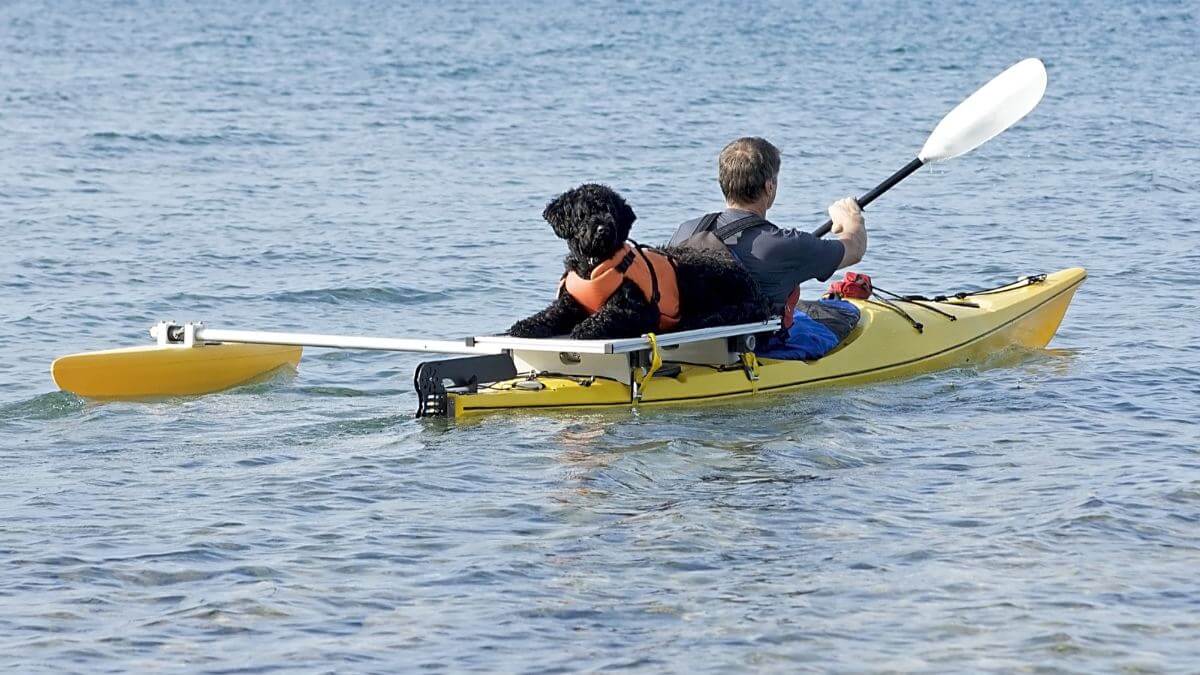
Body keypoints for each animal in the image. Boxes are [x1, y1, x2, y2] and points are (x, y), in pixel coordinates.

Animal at [506, 182, 768, 336]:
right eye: (584, 213)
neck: (593, 266)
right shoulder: (569, 302)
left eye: (610, 211)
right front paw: (527, 324)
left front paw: (585, 327)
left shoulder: (638, 310)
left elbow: (608, 314)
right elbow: (551, 313)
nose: (603, 229)